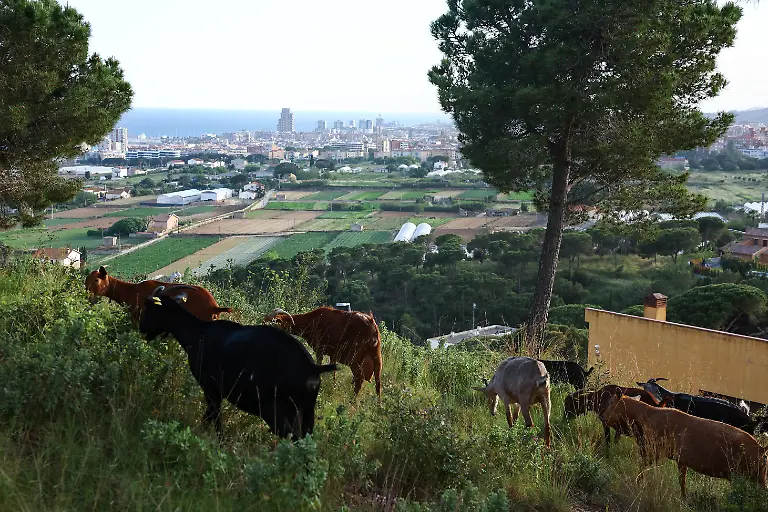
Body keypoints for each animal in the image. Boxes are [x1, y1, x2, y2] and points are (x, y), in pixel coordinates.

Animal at [140, 287, 337, 440]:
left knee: (292, 436)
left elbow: (214, 416)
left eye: (148, 308)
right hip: (307, 409)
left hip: (277, 410)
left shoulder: (211, 387)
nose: (142, 329)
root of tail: (311, 367)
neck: (197, 333)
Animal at [601, 389, 768, 498]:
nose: (603, 417)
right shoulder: (681, 460)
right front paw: (683, 497)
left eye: (611, 402)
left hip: (750, 476)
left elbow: (643, 466)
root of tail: (761, 449)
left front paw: (636, 482)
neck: (647, 415)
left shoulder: (656, 449)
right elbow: (682, 482)